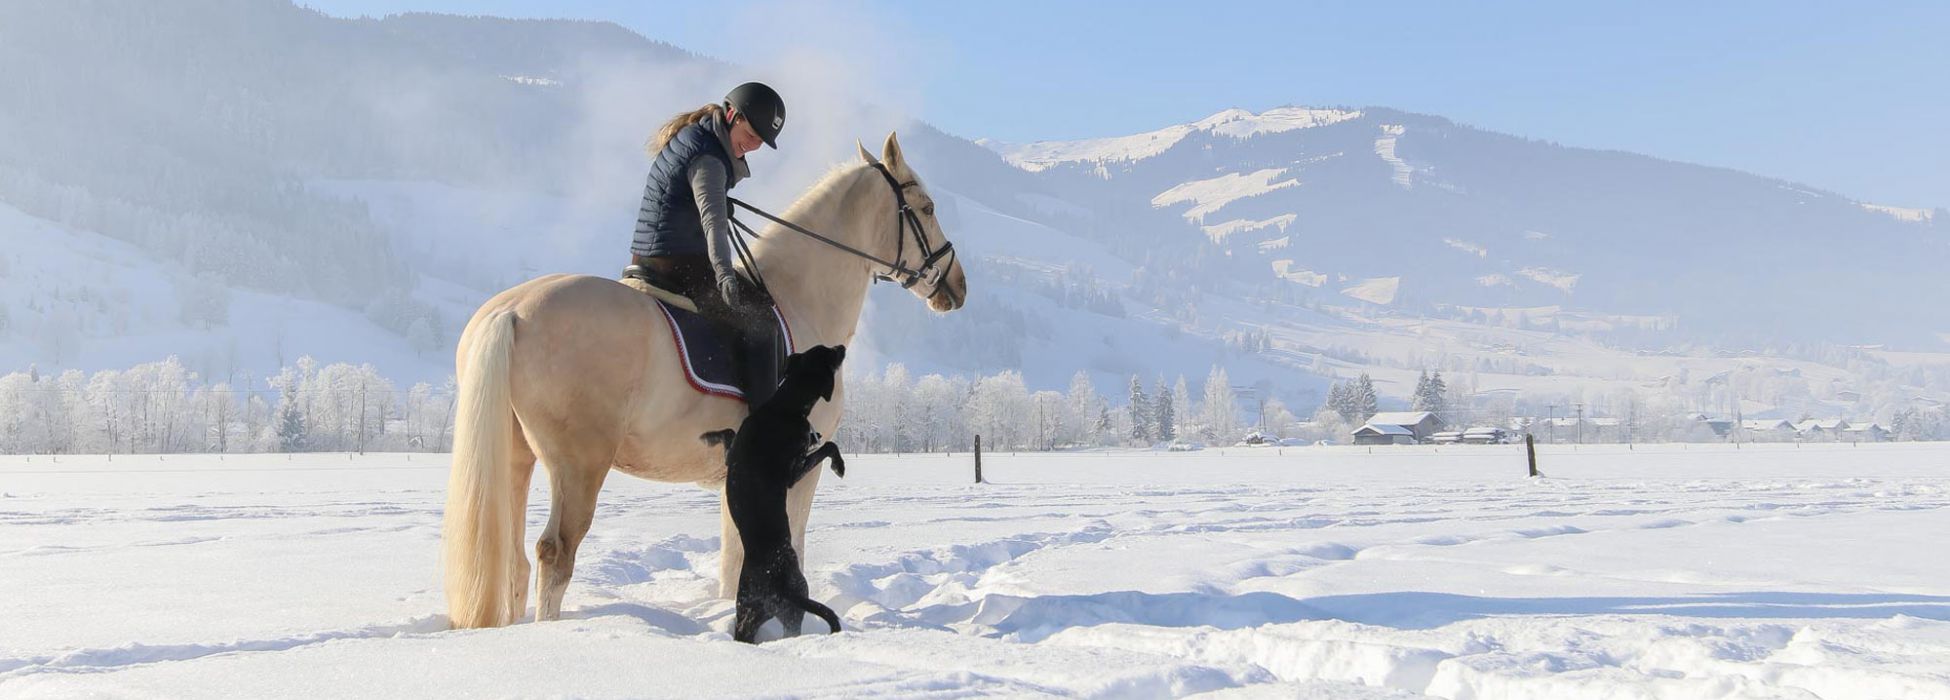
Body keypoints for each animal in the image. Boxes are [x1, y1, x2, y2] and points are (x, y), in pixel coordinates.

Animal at [705, 343, 850, 643]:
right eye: (829, 354)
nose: (841, 346)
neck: (783, 407)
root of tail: (779, 586)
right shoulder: (794, 471)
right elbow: (828, 446)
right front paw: (839, 466)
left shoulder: (733, 454)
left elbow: (728, 434)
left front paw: (710, 436)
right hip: (793, 604)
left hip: (750, 613)